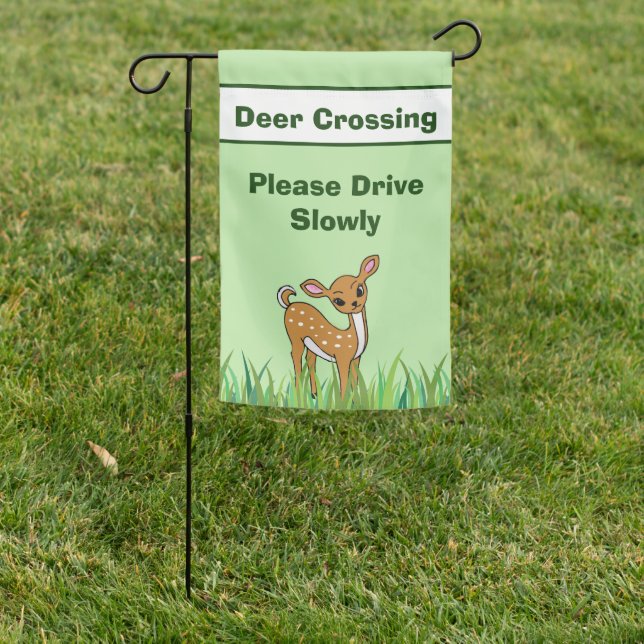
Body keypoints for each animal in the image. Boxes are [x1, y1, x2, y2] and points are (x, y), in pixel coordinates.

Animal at [276, 255, 380, 399]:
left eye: (360, 290)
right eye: (338, 301)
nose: (354, 303)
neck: (353, 337)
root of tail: (290, 305)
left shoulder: (356, 358)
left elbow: (355, 380)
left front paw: (356, 401)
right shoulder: (342, 357)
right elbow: (343, 382)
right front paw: (342, 401)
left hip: (311, 345)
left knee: (310, 360)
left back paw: (314, 394)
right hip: (294, 336)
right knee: (295, 356)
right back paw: (298, 395)